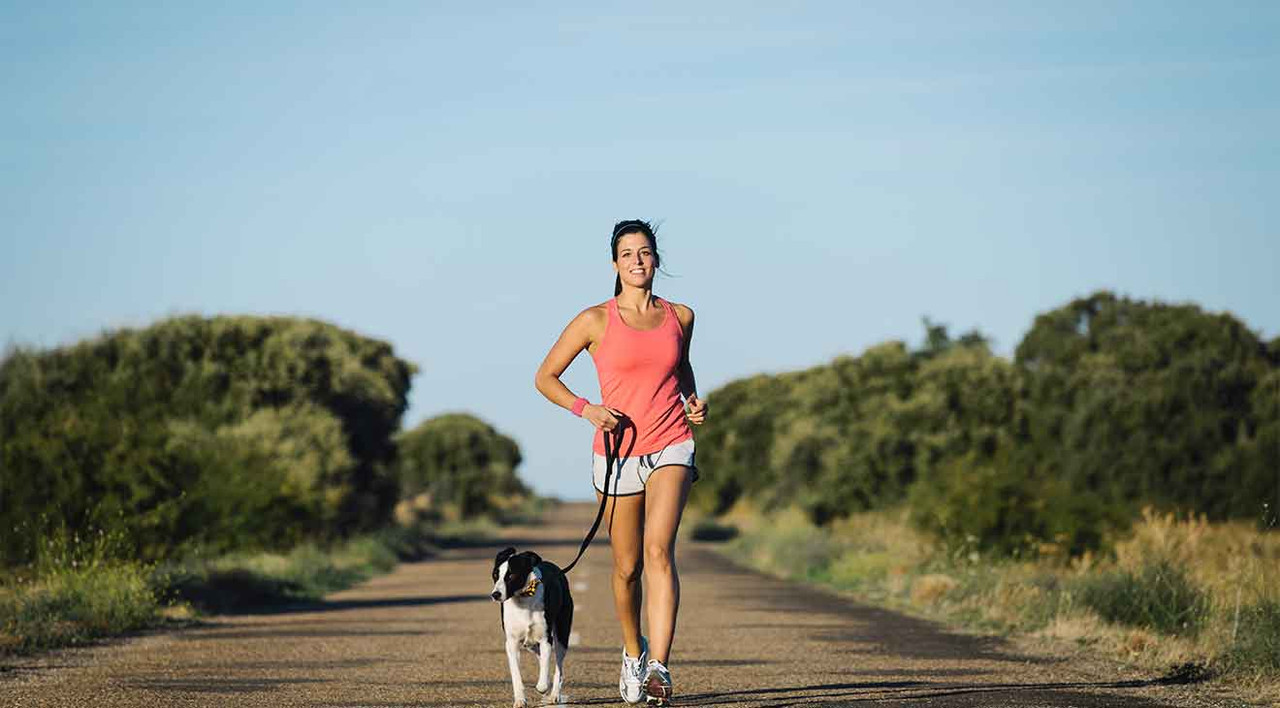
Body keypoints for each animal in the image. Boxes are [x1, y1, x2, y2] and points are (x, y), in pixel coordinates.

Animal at [486, 545, 573, 701]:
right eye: (495, 575)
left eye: (511, 576)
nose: (495, 595)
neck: (523, 601)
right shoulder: (512, 642)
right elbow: (516, 674)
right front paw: (520, 700)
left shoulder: (546, 639)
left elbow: (544, 678)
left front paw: (542, 687)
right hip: (529, 644)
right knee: (539, 654)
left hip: (562, 634)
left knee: (558, 666)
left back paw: (554, 694)